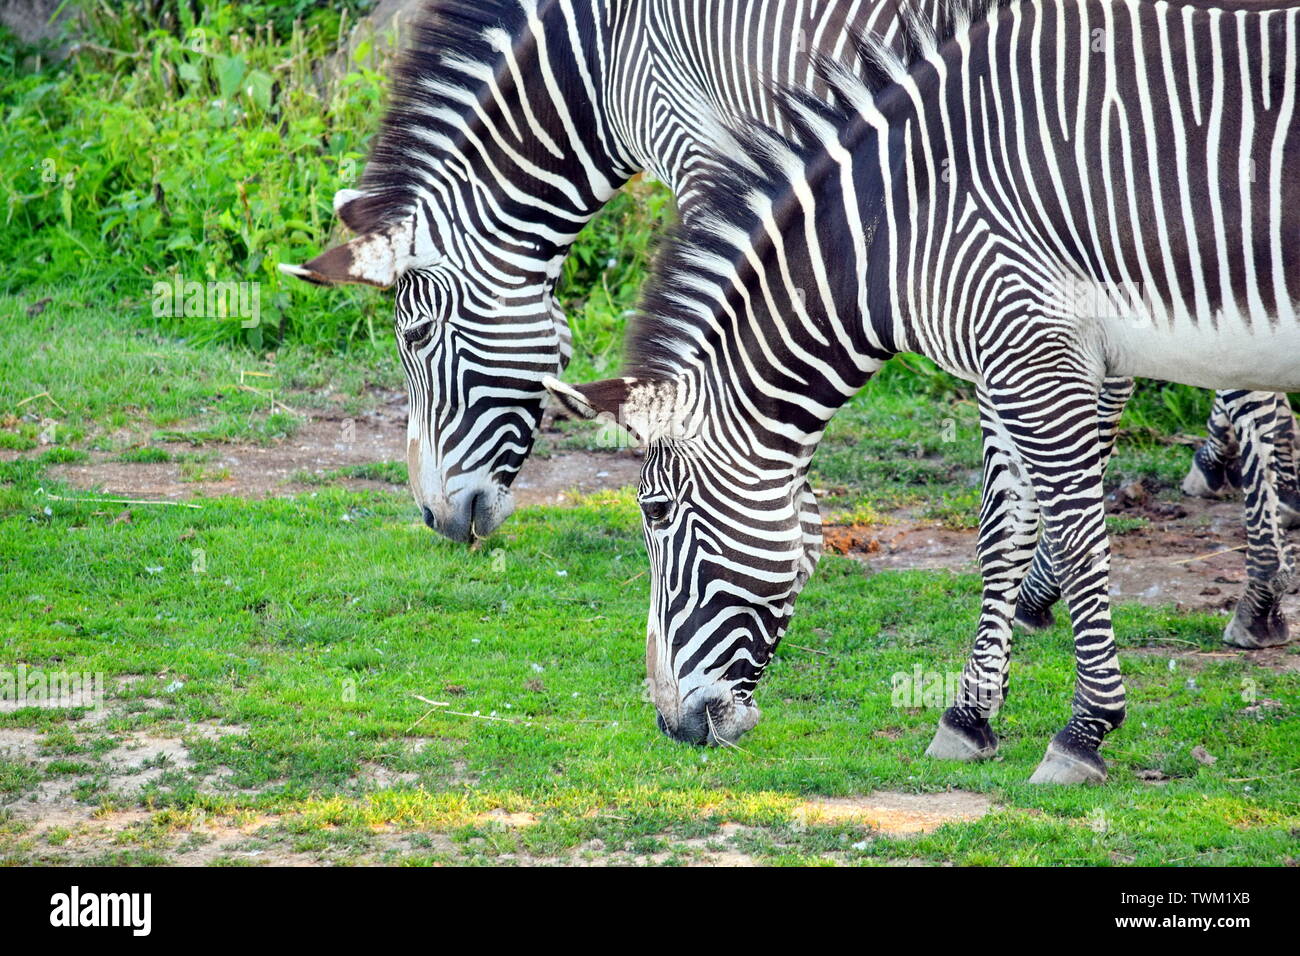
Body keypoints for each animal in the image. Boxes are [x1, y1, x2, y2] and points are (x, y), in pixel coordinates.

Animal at [276, 0, 1289, 647]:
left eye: (414, 338)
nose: (440, 521)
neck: (599, 49)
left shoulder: (709, 150)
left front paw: (786, 532)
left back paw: (1254, 597)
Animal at [543, 0, 1300, 780]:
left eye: (657, 511)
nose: (673, 727)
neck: (912, 213)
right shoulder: (1011, 360)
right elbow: (1002, 532)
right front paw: (969, 717)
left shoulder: (1033, 353)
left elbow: (1079, 537)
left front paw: (1083, 731)